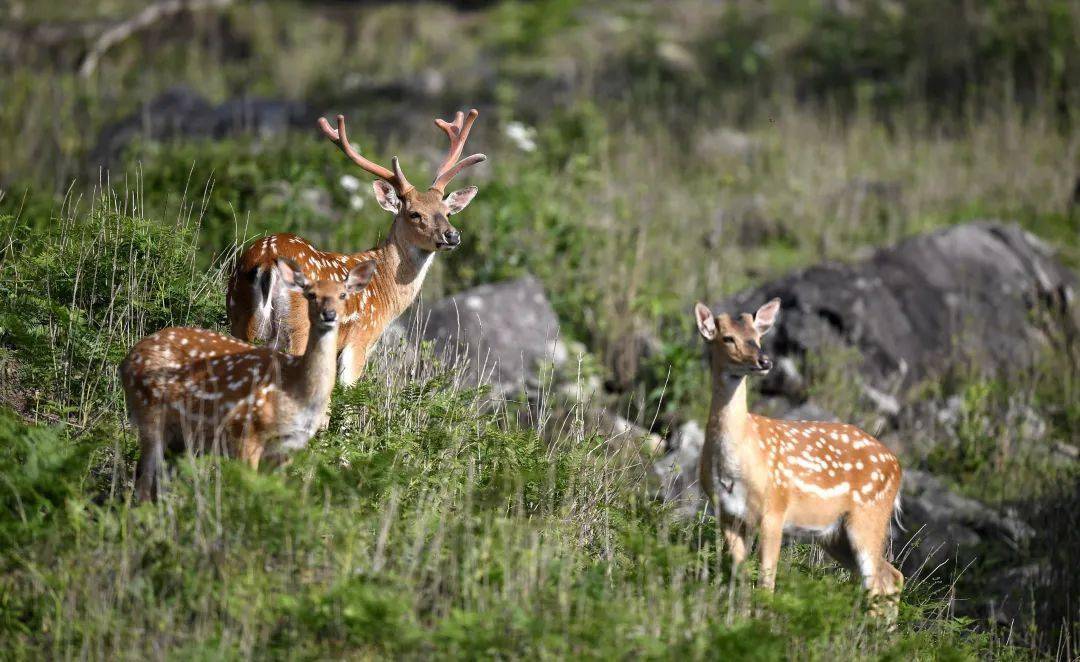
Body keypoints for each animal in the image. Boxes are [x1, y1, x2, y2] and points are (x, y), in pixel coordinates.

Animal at [120, 258, 375, 501]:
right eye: (311, 294)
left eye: (343, 294)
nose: (329, 315)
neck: (296, 389)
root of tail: (127, 359)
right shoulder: (246, 431)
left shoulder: (288, 447)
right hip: (150, 413)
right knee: (144, 484)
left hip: (180, 435)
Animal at [230, 107, 488, 384]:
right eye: (415, 214)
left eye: (447, 213)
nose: (452, 236)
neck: (385, 290)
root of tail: (268, 260)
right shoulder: (361, 338)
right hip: (298, 329)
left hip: (239, 316)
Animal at [691, 298, 902, 609]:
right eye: (727, 338)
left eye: (758, 337)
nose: (764, 362)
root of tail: (897, 465)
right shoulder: (727, 514)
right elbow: (741, 576)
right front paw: (739, 614)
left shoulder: (775, 509)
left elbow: (766, 582)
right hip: (834, 534)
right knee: (891, 576)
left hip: (869, 515)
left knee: (877, 580)